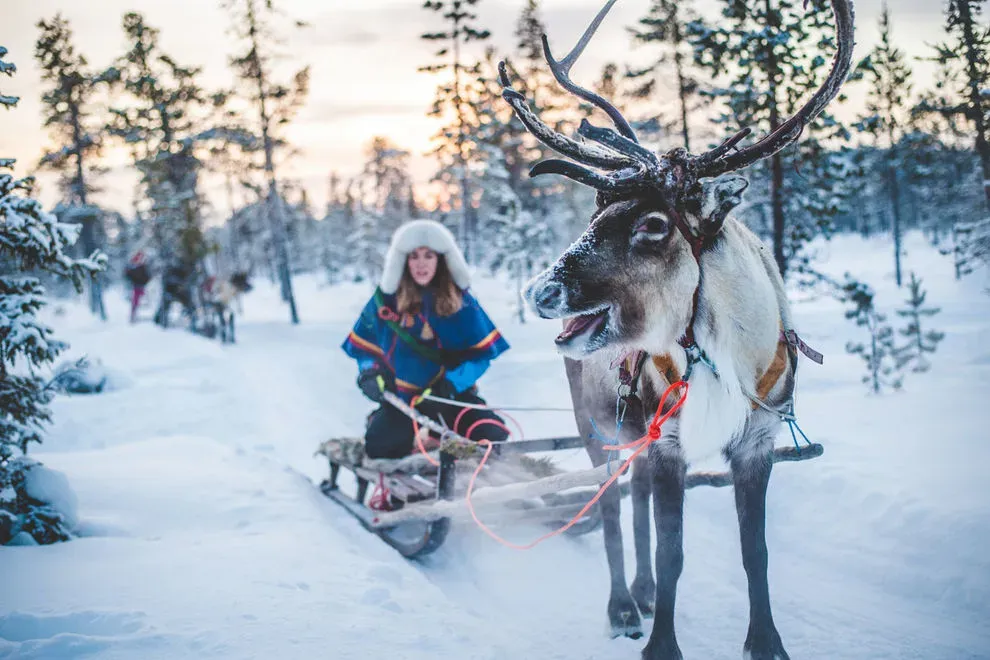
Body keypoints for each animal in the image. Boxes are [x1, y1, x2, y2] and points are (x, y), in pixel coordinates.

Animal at [498, 0, 854, 658]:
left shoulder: (756, 443)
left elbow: (755, 554)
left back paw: (637, 593)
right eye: (597, 213)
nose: (539, 291)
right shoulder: (668, 443)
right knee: (612, 509)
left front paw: (766, 641)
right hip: (598, 428)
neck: (728, 355)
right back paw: (622, 606)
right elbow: (673, 554)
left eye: (654, 224)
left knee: (633, 500)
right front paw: (661, 644)